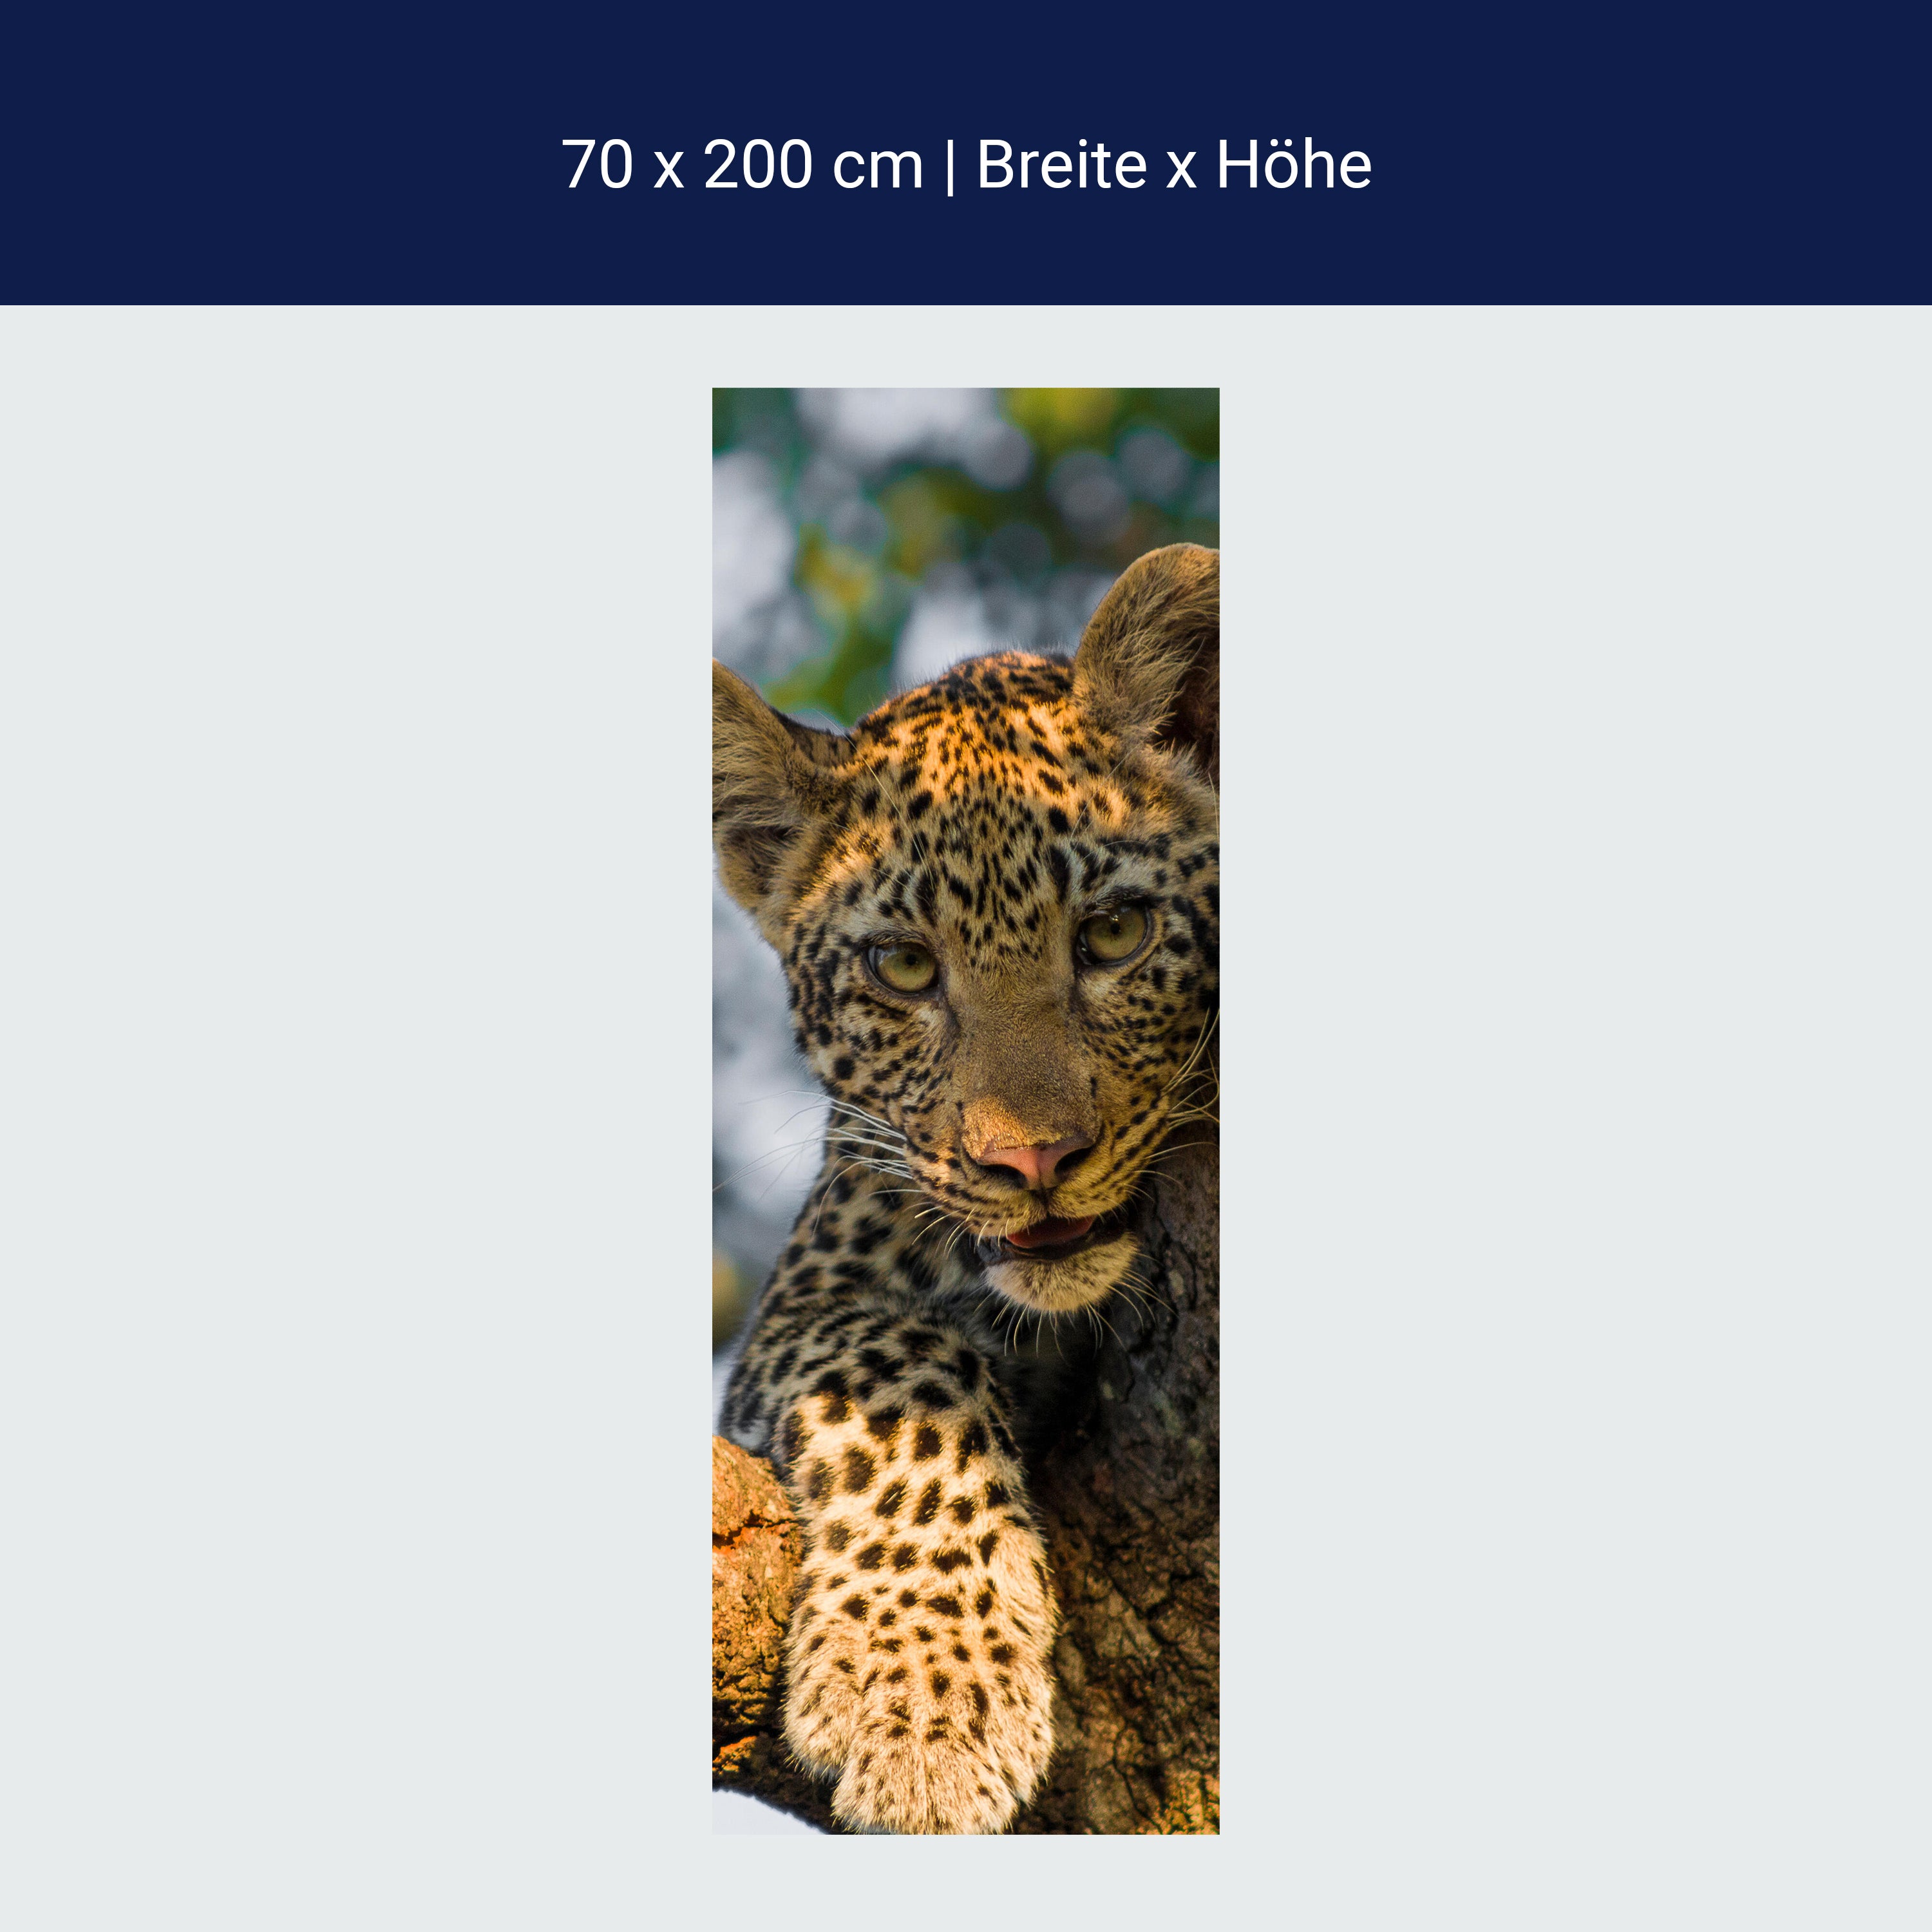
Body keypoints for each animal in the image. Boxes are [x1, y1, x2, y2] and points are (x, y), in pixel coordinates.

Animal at [713, 541, 1218, 1834]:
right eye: (903, 968)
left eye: (1116, 934)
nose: (1031, 1162)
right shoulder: (805, 1299)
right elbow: (902, 1368)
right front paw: (925, 1706)